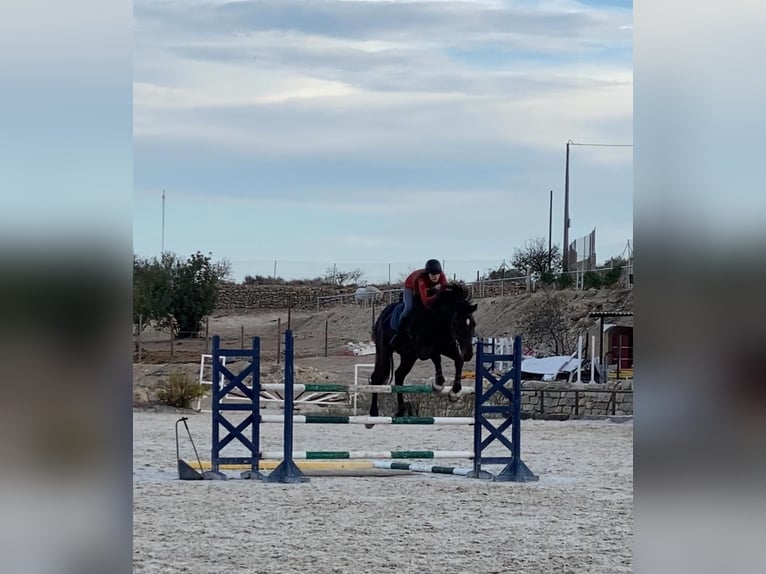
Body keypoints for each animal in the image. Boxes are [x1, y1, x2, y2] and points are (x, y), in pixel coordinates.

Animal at [368, 282, 480, 430]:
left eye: (473, 324)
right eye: (457, 323)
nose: (469, 354)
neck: (438, 321)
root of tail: (382, 315)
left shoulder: (447, 347)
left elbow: (458, 361)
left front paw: (455, 392)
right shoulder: (423, 351)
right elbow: (436, 356)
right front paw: (439, 383)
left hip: (409, 356)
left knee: (399, 375)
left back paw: (400, 411)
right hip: (385, 351)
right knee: (377, 377)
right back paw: (373, 414)